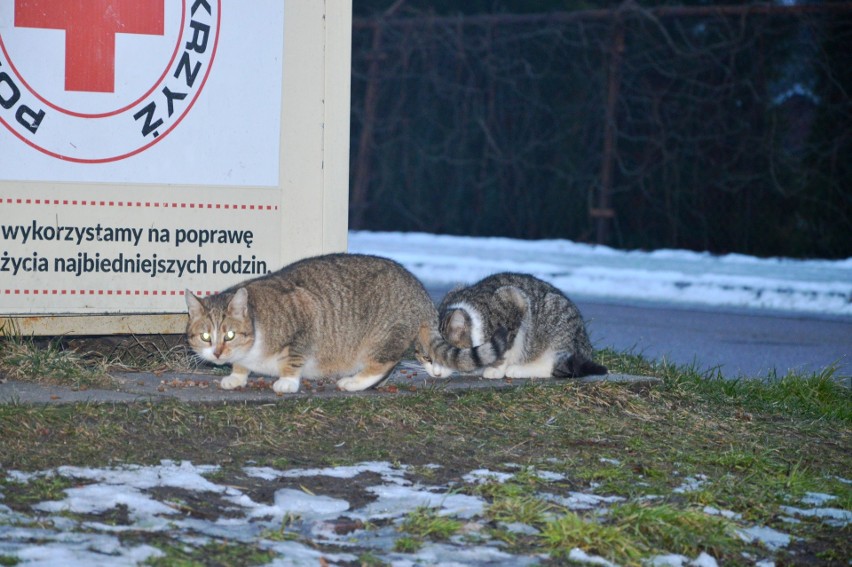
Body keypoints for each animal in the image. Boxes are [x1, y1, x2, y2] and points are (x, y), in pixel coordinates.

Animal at [184, 254, 510, 394]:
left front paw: (287, 381)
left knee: (383, 362)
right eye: (205, 336)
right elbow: (241, 366)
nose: (217, 353)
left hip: (382, 335)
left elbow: (294, 357)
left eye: (229, 334)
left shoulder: (305, 316)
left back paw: (354, 382)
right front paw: (237, 375)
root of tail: (420, 291)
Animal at [440, 272, 604, 380]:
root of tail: (587, 347)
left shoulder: (514, 299)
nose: (436, 372)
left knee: (552, 365)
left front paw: (495, 369)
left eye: (448, 355)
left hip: (556, 324)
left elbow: (505, 347)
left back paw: (516, 369)